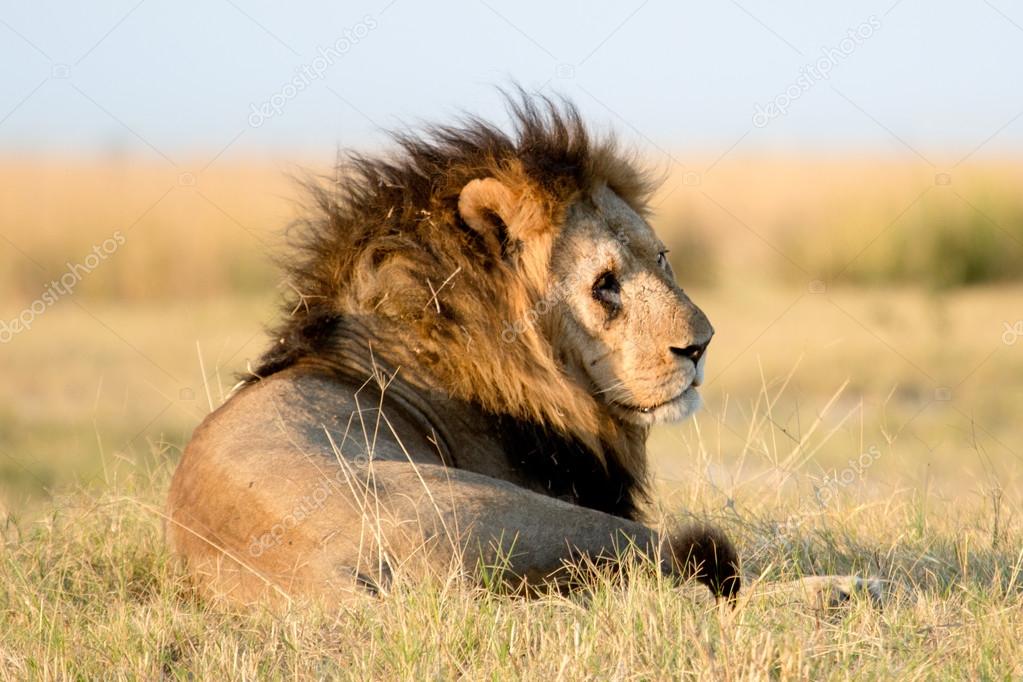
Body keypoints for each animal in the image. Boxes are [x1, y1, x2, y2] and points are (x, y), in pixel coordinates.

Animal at [167, 92, 879, 609]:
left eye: (663, 258)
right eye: (604, 284)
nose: (700, 345)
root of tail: (334, 582)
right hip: (526, 517)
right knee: (703, 595)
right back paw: (847, 588)